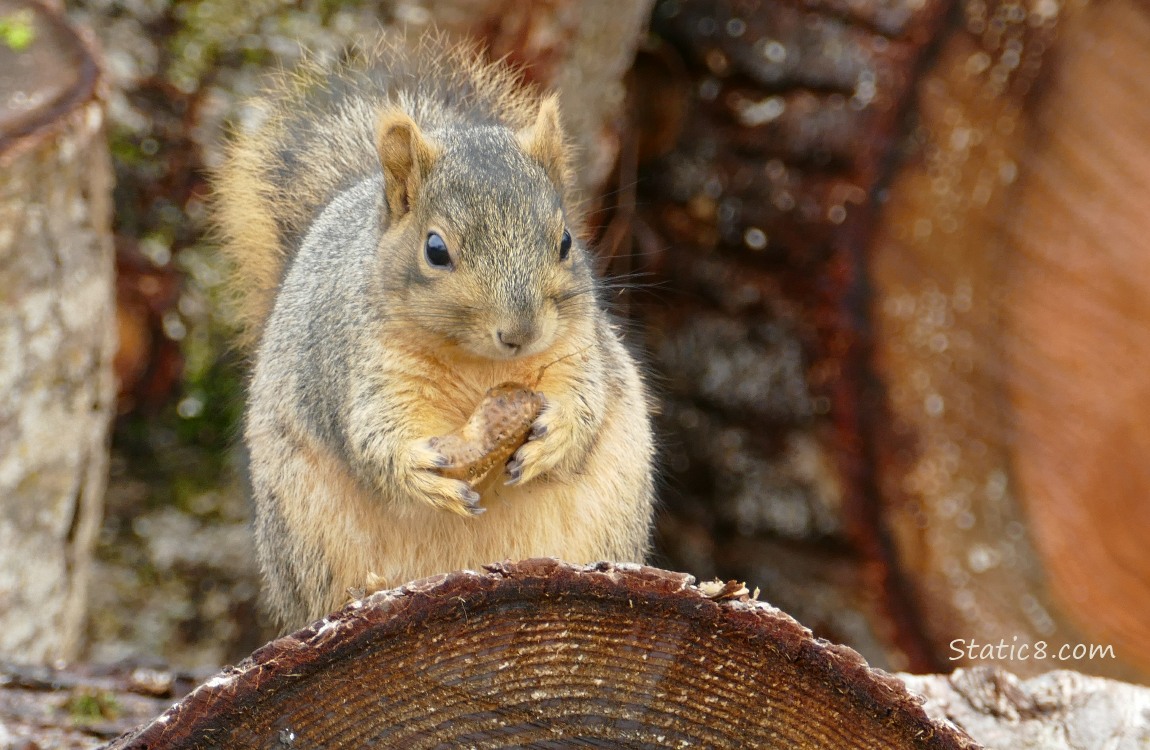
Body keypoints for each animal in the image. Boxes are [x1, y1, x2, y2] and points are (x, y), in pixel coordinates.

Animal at [213, 36, 657, 634]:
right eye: (436, 249)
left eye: (566, 241)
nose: (520, 332)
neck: (480, 364)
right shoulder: (362, 369)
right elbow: (375, 442)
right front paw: (423, 473)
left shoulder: (579, 350)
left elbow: (586, 403)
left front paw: (555, 437)